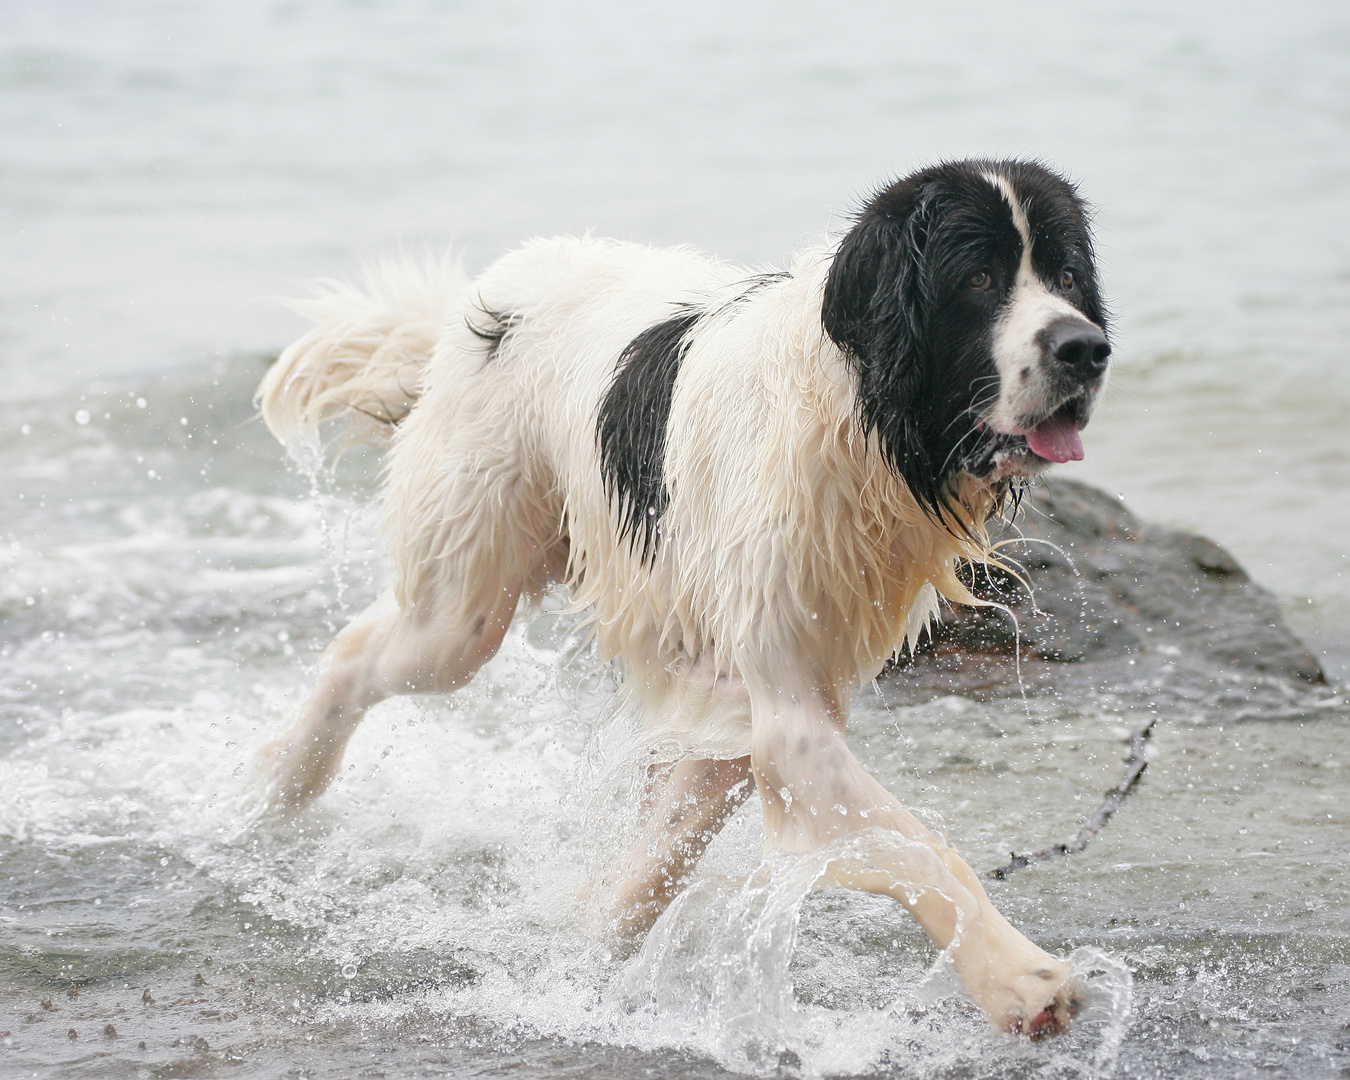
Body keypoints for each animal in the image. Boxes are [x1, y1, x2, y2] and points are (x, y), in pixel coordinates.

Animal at [253, 157, 1107, 1036]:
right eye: (977, 278)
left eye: (1067, 275)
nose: (1086, 349)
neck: (855, 413)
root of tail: (484, 297)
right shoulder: (792, 721)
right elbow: (915, 846)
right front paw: (1019, 977)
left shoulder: (739, 693)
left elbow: (661, 851)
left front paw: (584, 944)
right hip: (462, 604)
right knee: (359, 653)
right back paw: (280, 784)